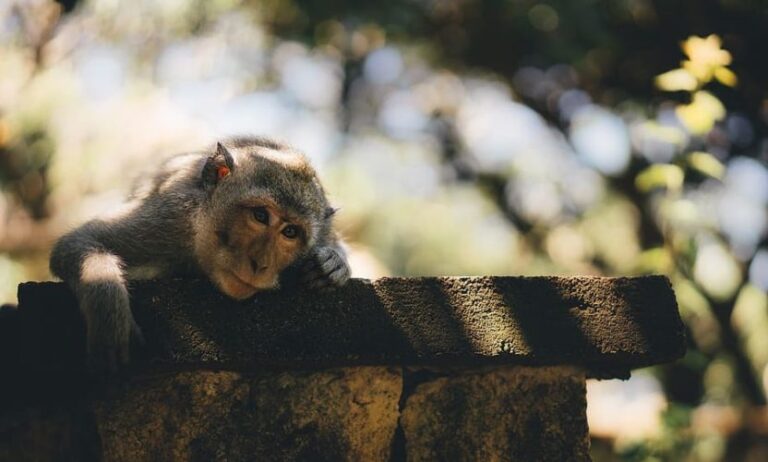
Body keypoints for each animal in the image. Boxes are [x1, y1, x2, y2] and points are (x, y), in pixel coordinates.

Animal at [49, 136, 350, 372]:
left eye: (290, 232)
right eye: (260, 215)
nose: (260, 264)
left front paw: (332, 265)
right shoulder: (171, 218)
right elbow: (80, 241)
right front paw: (109, 315)